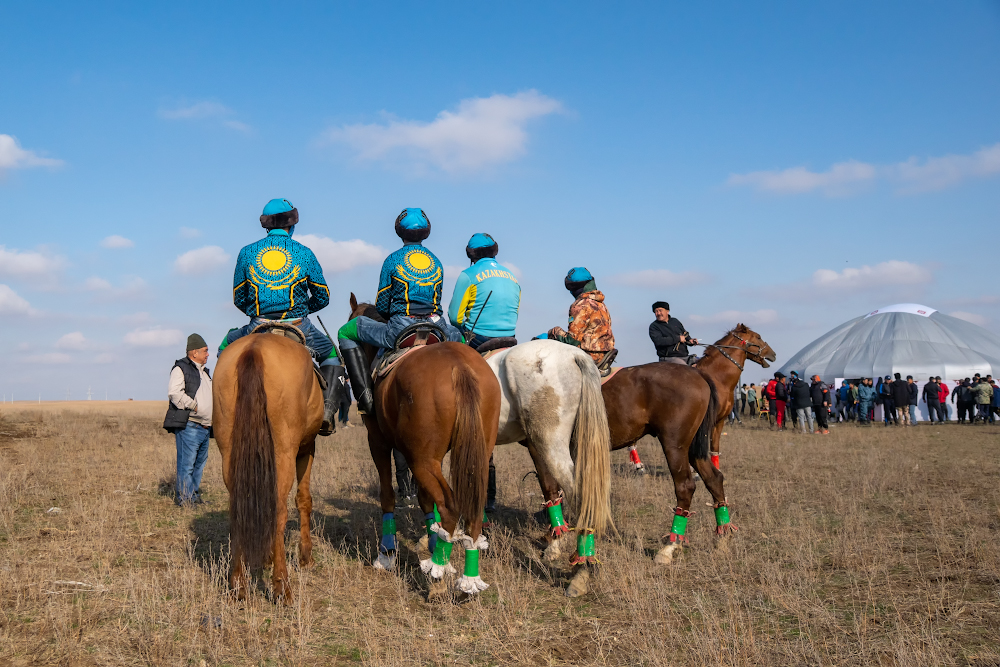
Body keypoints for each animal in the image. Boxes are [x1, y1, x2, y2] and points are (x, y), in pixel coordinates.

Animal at [213, 336, 322, 604]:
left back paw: (238, 585)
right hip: (284, 453)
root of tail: (255, 348)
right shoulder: (307, 447)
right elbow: (304, 500)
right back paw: (282, 588)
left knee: (238, 510)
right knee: (279, 511)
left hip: (230, 452)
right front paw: (305, 557)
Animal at [350, 296, 504, 596]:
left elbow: (388, 495)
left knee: (450, 506)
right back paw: (467, 576)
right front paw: (430, 541)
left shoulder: (379, 442)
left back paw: (438, 573)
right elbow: (423, 499)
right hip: (469, 454)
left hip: (421, 460)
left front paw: (387, 553)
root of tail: (459, 366)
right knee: (473, 509)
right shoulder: (420, 454)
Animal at [592, 360, 728, 564]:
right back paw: (723, 538)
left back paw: (671, 546)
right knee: (714, 479)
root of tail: (697, 373)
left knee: (685, 486)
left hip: (675, 445)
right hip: (693, 448)